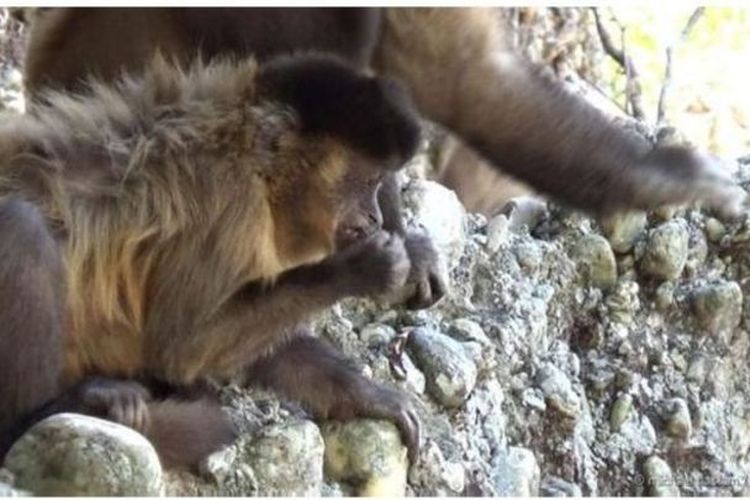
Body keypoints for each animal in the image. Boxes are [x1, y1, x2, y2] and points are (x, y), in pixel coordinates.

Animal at [0, 52, 424, 469]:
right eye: (368, 182)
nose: (376, 217)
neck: (254, 165)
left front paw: (369, 396)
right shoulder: (230, 203)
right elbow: (181, 346)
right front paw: (361, 270)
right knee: (22, 228)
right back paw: (42, 416)